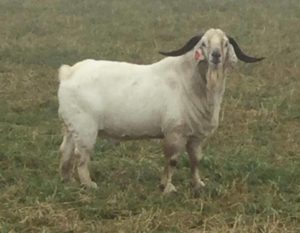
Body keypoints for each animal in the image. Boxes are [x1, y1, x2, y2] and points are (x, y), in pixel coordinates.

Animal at [57, 28, 264, 194]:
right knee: (81, 157)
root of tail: (68, 74)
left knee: (65, 151)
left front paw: (198, 184)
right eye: (203, 43)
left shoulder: (196, 136)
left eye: (225, 43)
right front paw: (168, 187)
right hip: (85, 128)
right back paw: (89, 185)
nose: (215, 55)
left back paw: (67, 181)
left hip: (71, 127)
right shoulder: (175, 132)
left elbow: (196, 160)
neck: (190, 82)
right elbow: (172, 160)